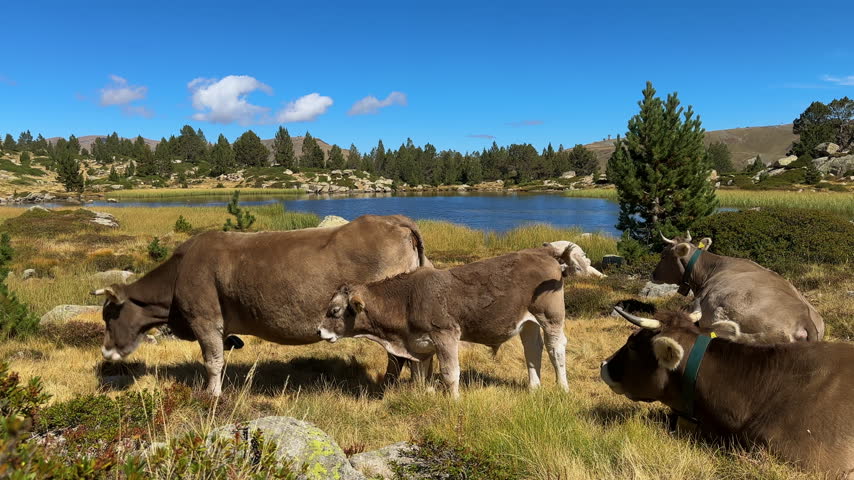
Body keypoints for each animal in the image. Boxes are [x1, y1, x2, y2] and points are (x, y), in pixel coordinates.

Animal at [92, 214, 431, 396]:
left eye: (109, 316)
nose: (106, 352)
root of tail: (393, 220)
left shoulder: (204, 318)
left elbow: (212, 361)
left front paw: (211, 395)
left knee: (403, 357)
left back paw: (398, 388)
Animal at [317, 241, 601, 398]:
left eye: (335, 310)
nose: (319, 331)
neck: (407, 299)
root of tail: (542, 252)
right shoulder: (419, 343)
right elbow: (421, 374)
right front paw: (425, 395)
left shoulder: (446, 336)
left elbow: (450, 373)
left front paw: (454, 401)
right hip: (528, 322)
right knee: (533, 349)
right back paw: (534, 388)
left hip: (551, 316)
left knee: (555, 349)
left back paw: (562, 388)